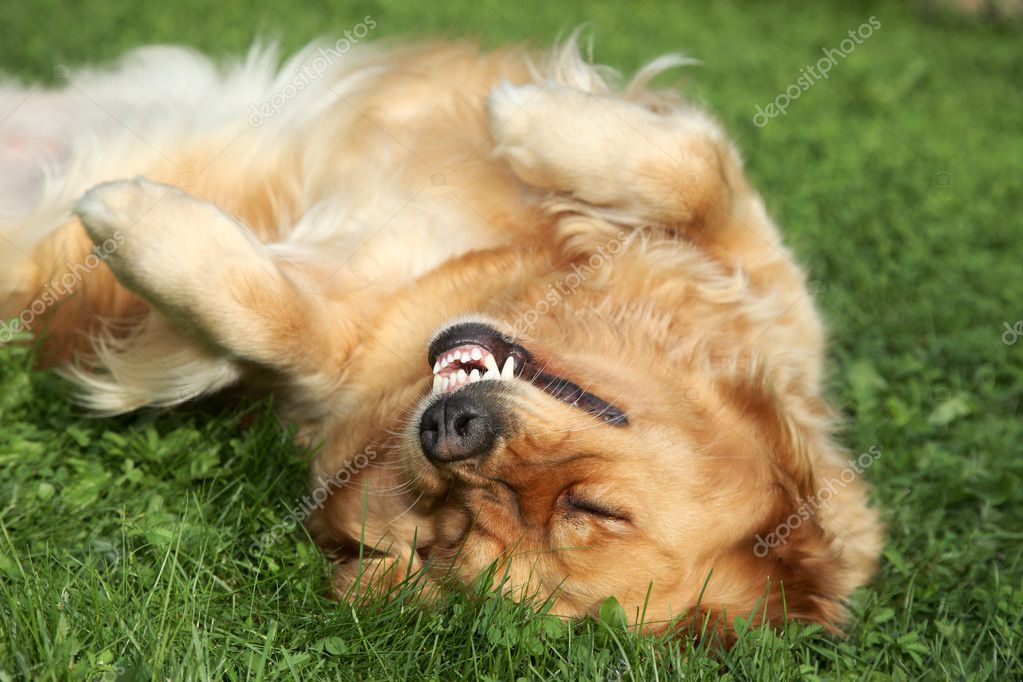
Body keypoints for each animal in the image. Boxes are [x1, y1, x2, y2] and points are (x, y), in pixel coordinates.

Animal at [0, 36, 879, 646]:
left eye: (457, 533)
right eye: (599, 506)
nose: (453, 429)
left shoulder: (335, 355)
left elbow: (268, 321)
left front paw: (137, 228)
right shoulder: (757, 272)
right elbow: (695, 167)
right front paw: (523, 113)